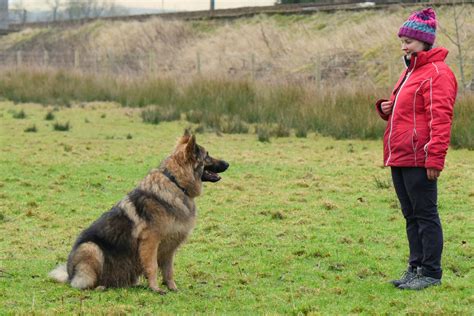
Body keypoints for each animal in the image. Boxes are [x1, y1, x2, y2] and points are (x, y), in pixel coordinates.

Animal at [49, 131, 230, 294]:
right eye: (207, 155)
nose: (228, 164)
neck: (176, 183)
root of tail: (69, 275)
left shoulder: (169, 247)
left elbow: (169, 270)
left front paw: (172, 287)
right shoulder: (150, 241)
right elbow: (153, 266)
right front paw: (156, 288)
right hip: (91, 248)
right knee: (87, 283)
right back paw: (100, 287)